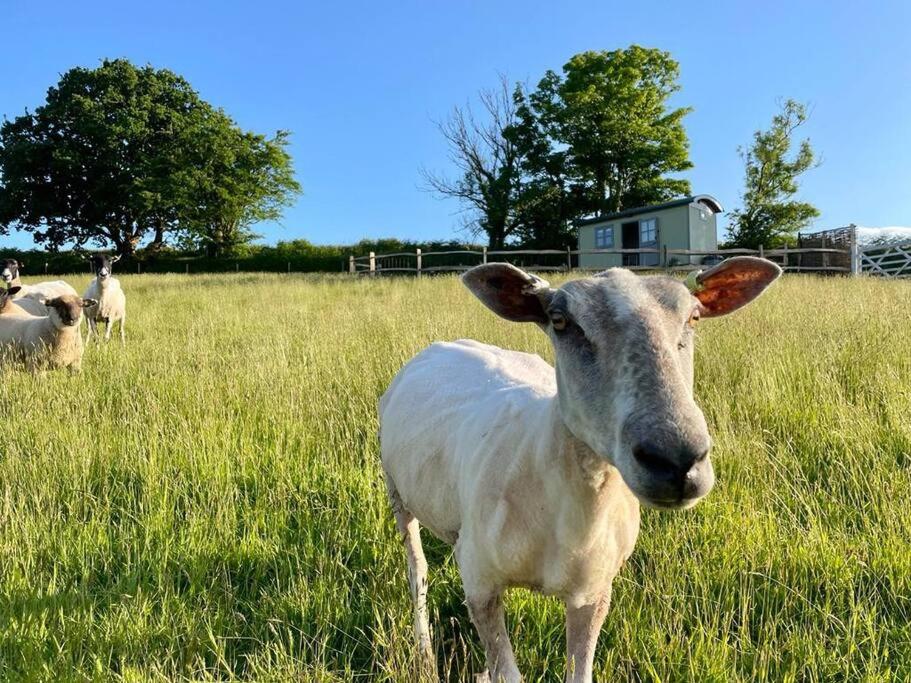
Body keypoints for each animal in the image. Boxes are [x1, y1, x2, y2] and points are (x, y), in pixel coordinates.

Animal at [378, 258, 784, 683]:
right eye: (559, 321)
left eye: (694, 316)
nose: (677, 460)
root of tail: (448, 343)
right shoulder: (479, 580)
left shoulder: (594, 591)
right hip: (397, 491)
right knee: (418, 570)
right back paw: (424, 652)